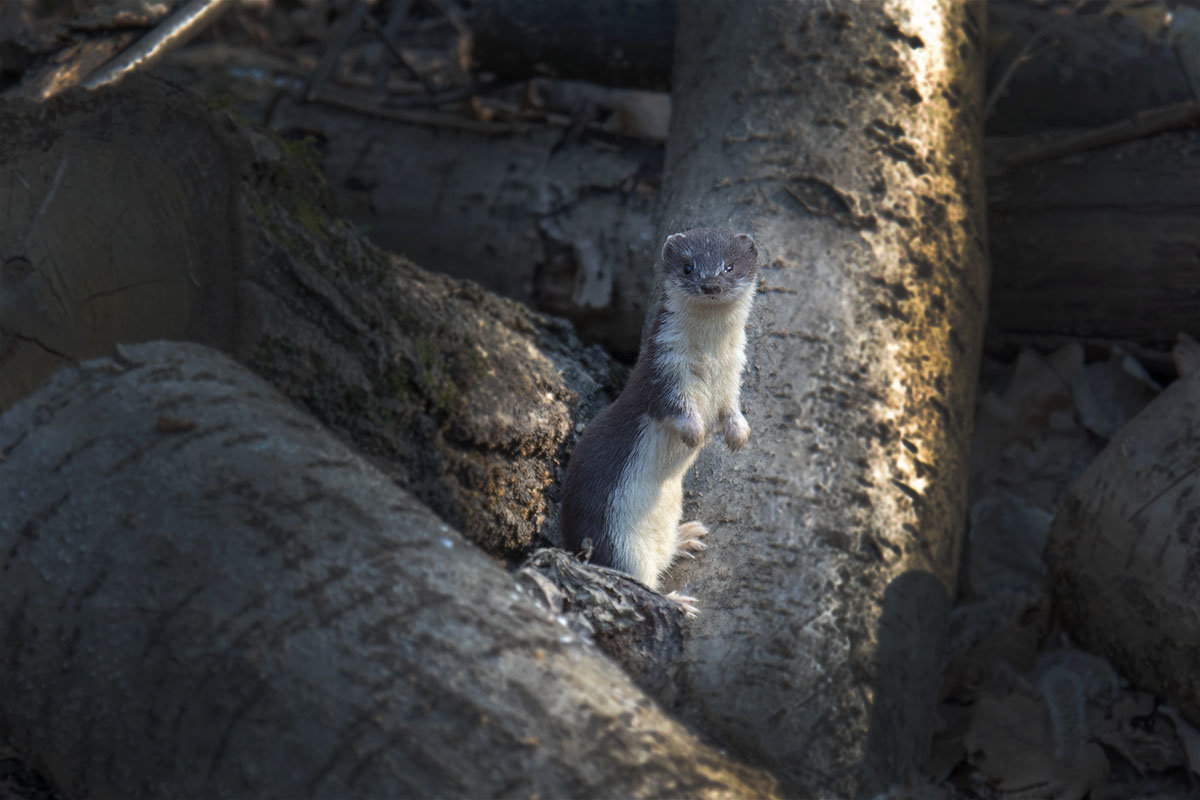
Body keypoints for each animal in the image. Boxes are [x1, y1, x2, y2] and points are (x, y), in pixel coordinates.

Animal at [559, 227, 758, 604]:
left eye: (729, 265)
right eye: (688, 266)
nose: (710, 284)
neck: (709, 364)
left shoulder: (732, 379)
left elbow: (731, 410)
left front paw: (739, 435)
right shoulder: (663, 375)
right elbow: (675, 410)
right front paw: (695, 434)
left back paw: (686, 536)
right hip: (618, 540)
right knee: (636, 574)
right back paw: (677, 601)